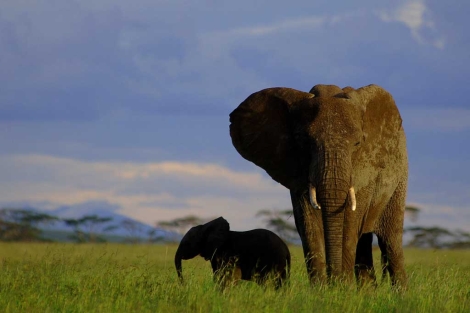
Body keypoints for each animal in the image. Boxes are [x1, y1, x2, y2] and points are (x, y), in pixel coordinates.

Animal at [229, 83, 406, 288]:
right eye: (303, 141)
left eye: (357, 143)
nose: (334, 280)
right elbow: (309, 224)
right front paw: (322, 290)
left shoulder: (364, 170)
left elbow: (349, 224)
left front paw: (342, 290)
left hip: (400, 179)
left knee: (391, 241)